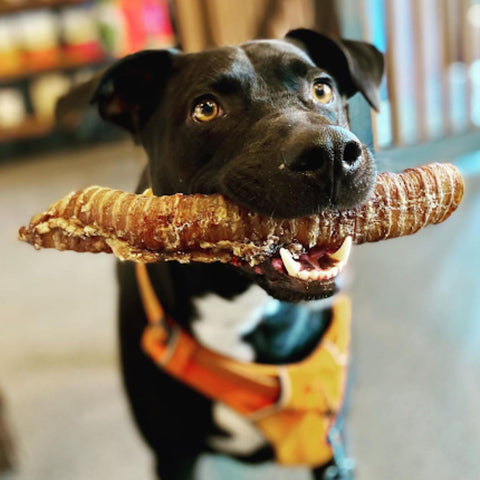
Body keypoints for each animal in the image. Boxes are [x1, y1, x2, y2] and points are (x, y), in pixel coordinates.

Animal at [57, 28, 382, 478]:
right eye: (206, 109)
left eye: (322, 89)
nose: (331, 153)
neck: (239, 311)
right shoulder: (173, 455)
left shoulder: (328, 444)